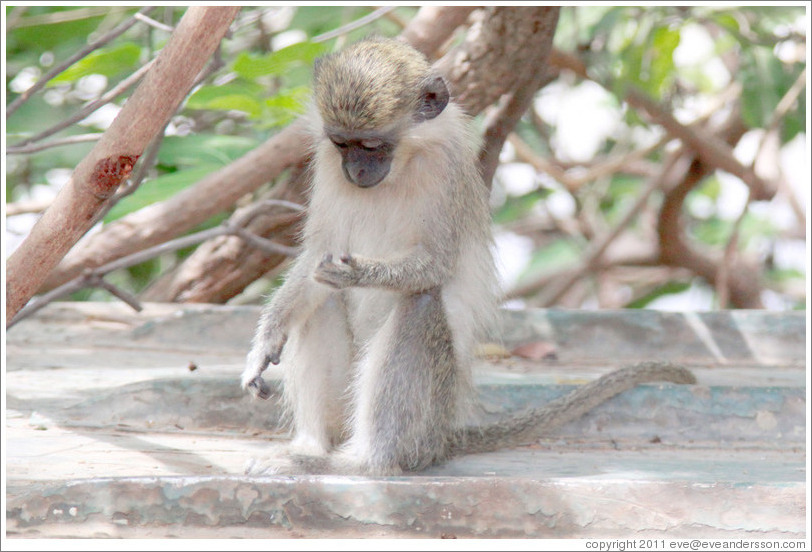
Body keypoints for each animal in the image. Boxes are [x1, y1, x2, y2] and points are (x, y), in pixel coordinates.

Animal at [243, 38, 696, 476]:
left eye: (372, 145)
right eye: (342, 143)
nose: (356, 171)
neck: (404, 165)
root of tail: (445, 434)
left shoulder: (444, 173)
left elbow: (435, 265)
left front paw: (358, 274)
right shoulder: (325, 165)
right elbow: (314, 261)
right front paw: (266, 341)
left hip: (427, 418)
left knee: (420, 301)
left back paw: (364, 463)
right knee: (319, 301)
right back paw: (312, 449)